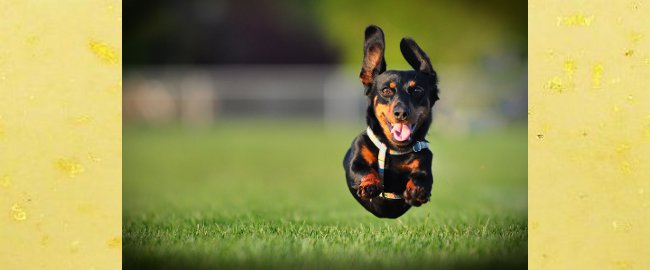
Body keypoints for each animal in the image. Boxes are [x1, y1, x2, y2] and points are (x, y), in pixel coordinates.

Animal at [342, 25, 438, 218]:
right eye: (386, 90)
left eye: (417, 90)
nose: (401, 113)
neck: (394, 150)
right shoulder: (356, 157)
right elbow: (362, 170)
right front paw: (370, 184)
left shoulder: (425, 159)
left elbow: (423, 178)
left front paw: (416, 190)